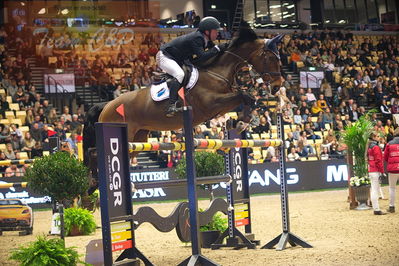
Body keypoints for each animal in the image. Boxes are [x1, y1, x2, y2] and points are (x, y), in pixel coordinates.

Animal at [84, 27, 284, 191]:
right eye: (271, 58)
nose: (277, 86)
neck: (217, 73)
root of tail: (106, 105)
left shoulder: (220, 106)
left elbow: (246, 99)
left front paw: (238, 122)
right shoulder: (212, 103)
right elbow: (245, 96)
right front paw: (242, 121)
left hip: (138, 139)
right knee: (93, 152)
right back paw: (93, 183)